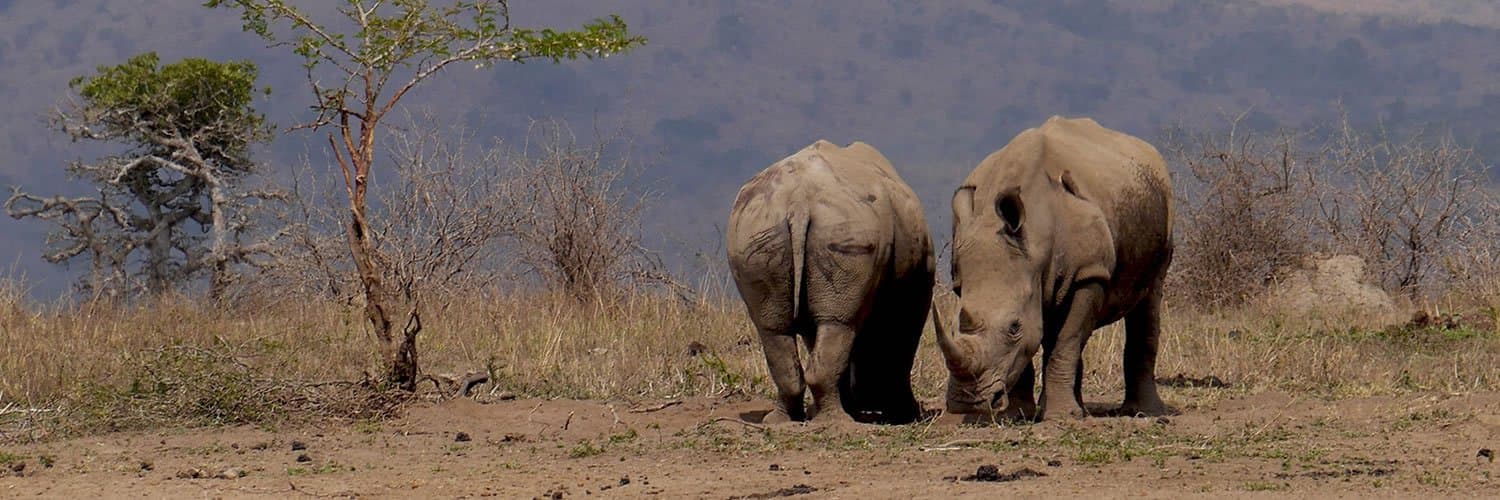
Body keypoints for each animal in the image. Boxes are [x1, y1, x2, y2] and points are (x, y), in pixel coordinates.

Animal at [726, 140, 935, 424]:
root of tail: (798, 202)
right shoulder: (915, 285)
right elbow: (900, 341)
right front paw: (906, 414)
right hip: (842, 229)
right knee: (838, 324)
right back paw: (840, 423)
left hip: (755, 229)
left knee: (777, 328)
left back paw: (783, 421)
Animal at [932, 116, 1173, 421]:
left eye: (1013, 327)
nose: (967, 402)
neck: (1036, 244)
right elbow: (1034, 343)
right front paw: (1018, 415)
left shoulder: (1088, 273)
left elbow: (1065, 340)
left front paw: (1060, 417)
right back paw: (1081, 409)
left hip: (1162, 203)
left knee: (1150, 295)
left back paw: (1142, 413)